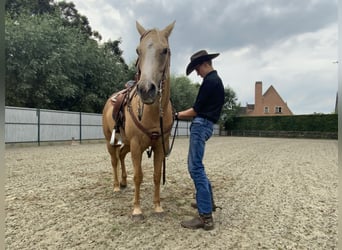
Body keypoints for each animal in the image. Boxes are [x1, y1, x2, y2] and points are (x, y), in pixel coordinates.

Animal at [102, 20, 175, 218]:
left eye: (165, 50)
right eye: (137, 50)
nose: (146, 89)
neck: (152, 114)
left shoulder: (159, 146)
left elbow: (156, 175)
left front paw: (157, 207)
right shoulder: (136, 145)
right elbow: (138, 176)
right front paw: (136, 209)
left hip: (126, 143)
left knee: (121, 155)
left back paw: (123, 182)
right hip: (111, 141)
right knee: (114, 160)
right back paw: (116, 186)